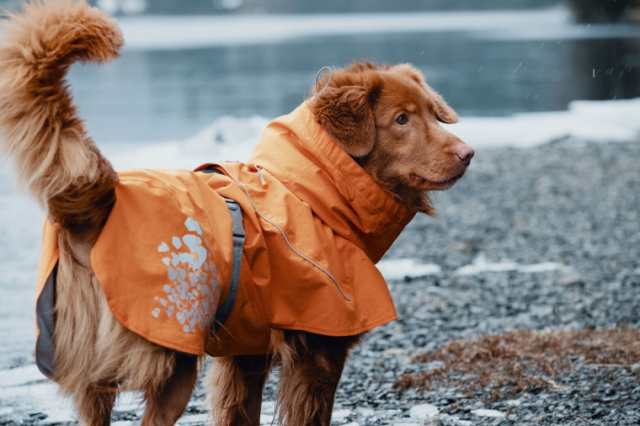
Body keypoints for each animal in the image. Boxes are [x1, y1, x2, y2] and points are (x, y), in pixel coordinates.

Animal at [0, 0, 470, 426]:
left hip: (96, 373)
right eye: (402, 119)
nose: (468, 153)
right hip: (172, 360)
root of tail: (102, 199)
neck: (314, 191)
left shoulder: (245, 354)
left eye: (433, 113)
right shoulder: (319, 350)